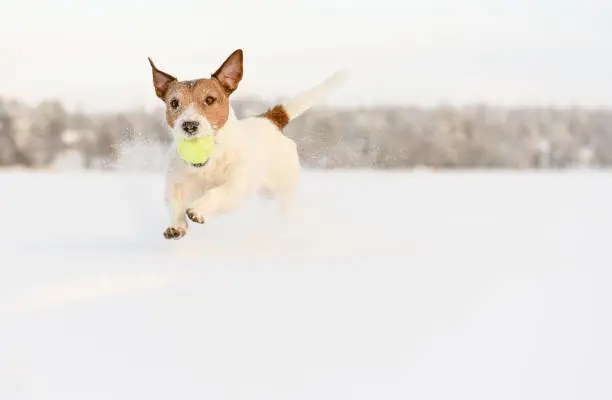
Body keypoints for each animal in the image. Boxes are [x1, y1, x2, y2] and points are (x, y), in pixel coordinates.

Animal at [148, 48, 346, 239]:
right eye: (174, 103)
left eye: (209, 99)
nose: (189, 125)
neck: (209, 162)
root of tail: (269, 119)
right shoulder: (175, 185)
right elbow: (175, 205)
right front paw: (176, 226)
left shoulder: (237, 188)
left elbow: (217, 192)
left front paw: (199, 209)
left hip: (284, 188)